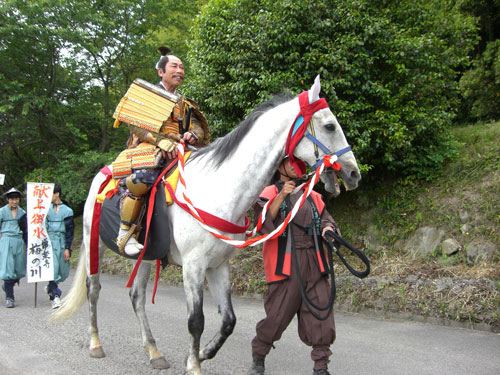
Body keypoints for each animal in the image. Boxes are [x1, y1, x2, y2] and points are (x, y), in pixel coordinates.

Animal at [52, 78, 362, 374]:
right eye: (330, 126)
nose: (353, 173)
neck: (219, 189)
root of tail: (101, 176)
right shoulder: (193, 266)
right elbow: (196, 321)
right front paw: (194, 365)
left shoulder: (218, 265)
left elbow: (228, 321)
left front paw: (202, 353)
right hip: (94, 241)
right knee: (93, 290)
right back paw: (95, 343)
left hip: (145, 255)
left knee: (136, 297)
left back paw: (154, 352)